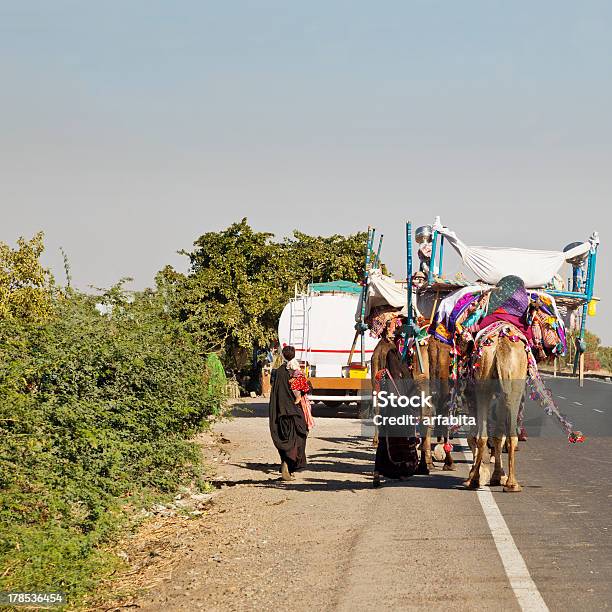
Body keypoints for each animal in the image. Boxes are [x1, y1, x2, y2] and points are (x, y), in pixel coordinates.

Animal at [464, 326, 524, 492]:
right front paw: (497, 476)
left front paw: (494, 476)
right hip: (511, 385)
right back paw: (511, 484)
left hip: (485, 381)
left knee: (483, 435)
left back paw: (476, 480)